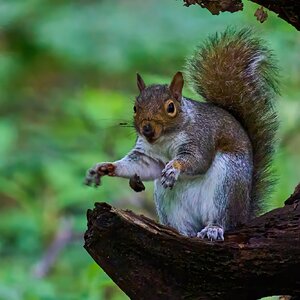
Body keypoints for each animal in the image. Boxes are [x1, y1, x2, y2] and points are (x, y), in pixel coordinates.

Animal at [85, 28, 278, 241]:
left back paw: (213, 228)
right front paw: (105, 168)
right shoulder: (147, 154)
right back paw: (180, 233)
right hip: (168, 201)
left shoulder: (201, 136)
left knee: (223, 219)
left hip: (228, 184)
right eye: (135, 108)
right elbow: (143, 166)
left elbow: (197, 160)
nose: (147, 129)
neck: (164, 139)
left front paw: (174, 168)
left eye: (171, 108)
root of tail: (244, 214)